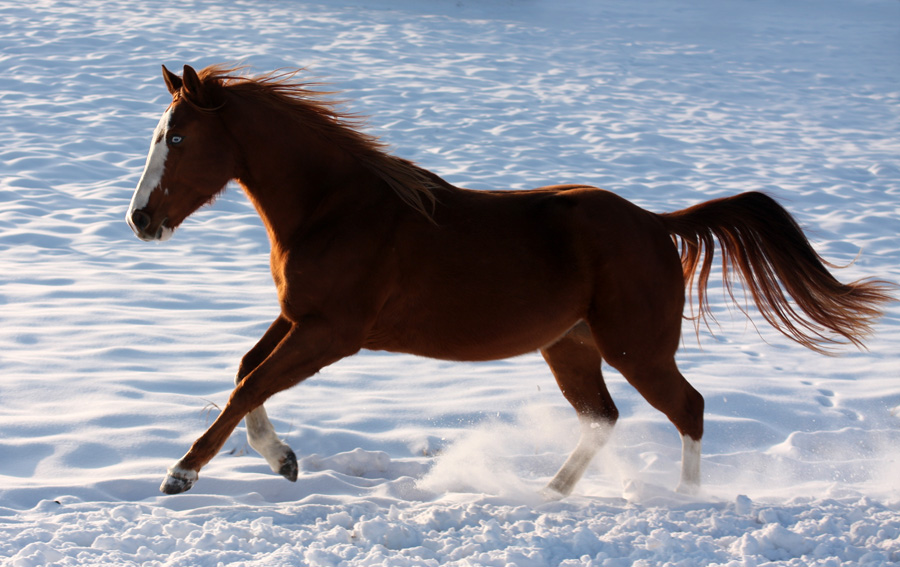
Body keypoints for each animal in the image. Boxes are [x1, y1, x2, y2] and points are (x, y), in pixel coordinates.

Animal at [126, 63, 892, 496]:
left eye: (179, 137)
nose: (140, 218)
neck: (334, 208)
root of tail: (654, 223)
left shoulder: (332, 332)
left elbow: (249, 383)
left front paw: (181, 473)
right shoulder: (298, 317)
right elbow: (246, 373)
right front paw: (282, 459)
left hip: (635, 347)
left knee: (689, 407)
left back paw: (684, 499)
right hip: (571, 345)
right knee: (603, 417)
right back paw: (551, 491)